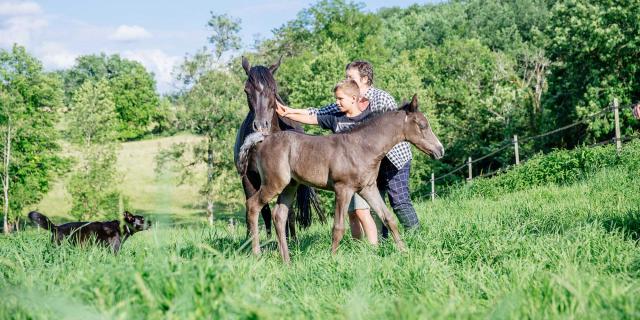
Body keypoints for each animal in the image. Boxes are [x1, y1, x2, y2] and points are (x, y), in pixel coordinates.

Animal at [234, 56, 324, 239]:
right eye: (247, 90)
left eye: (273, 89)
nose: (261, 125)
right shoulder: (248, 177)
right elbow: (260, 210)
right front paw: (257, 240)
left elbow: (286, 211)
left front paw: (288, 239)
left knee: (289, 212)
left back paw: (292, 238)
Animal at [240, 94, 444, 262]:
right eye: (422, 125)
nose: (440, 150)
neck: (362, 146)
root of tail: (263, 140)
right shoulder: (343, 189)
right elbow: (338, 228)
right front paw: (332, 260)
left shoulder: (368, 188)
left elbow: (388, 218)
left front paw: (405, 252)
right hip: (273, 183)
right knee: (253, 206)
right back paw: (257, 254)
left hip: (290, 185)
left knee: (279, 215)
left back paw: (287, 260)